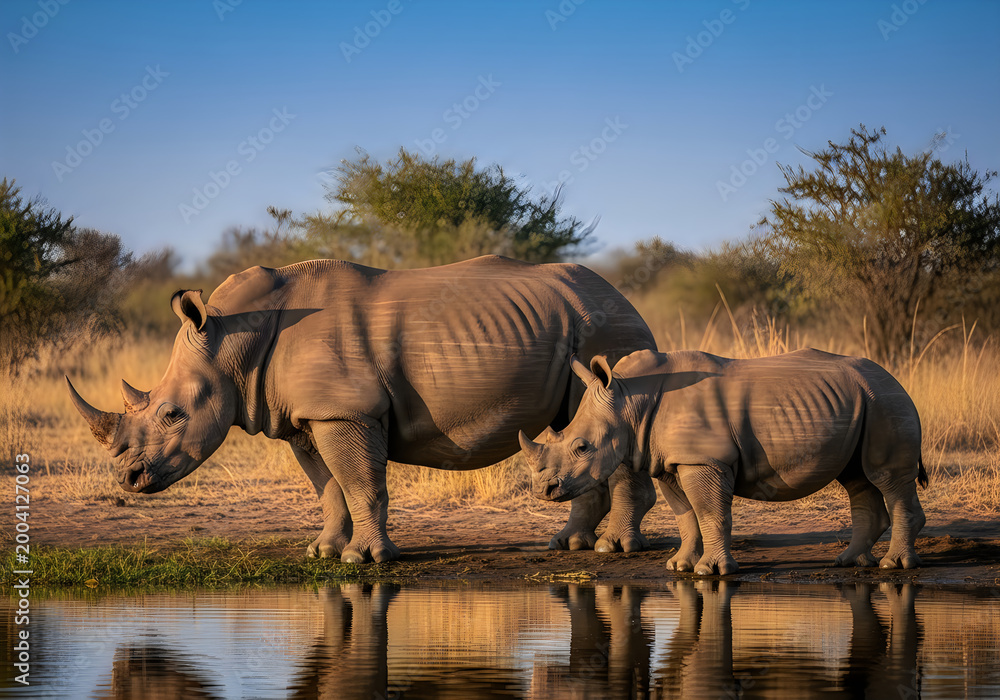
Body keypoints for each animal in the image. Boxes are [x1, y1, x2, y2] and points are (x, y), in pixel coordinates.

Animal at [66, 256, 659, 563]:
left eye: (172, 415)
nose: (128, 478)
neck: (232, 339)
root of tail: (628, 298)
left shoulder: (344, 410)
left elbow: (360, 481)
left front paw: (364, 560)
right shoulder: (307, 416)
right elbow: (328, 486)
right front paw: (324, 552)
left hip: (607, 329)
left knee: (607, 413)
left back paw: (613, 550)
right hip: (585, 324)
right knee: (577, 429)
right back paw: (571, 544)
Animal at [519, 348, 928, 575]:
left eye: (582, 447)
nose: (544, 490)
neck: (631, 400)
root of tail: (896, 380)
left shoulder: (704, 460)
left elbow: (710, 512)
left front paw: (711, 573)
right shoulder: (671, 460)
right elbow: (686, 514)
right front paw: (679, 566)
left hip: (886, 400)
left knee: (886, 478)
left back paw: (893, 566)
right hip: (866, 401)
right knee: (858, 478)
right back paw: (851, 562)